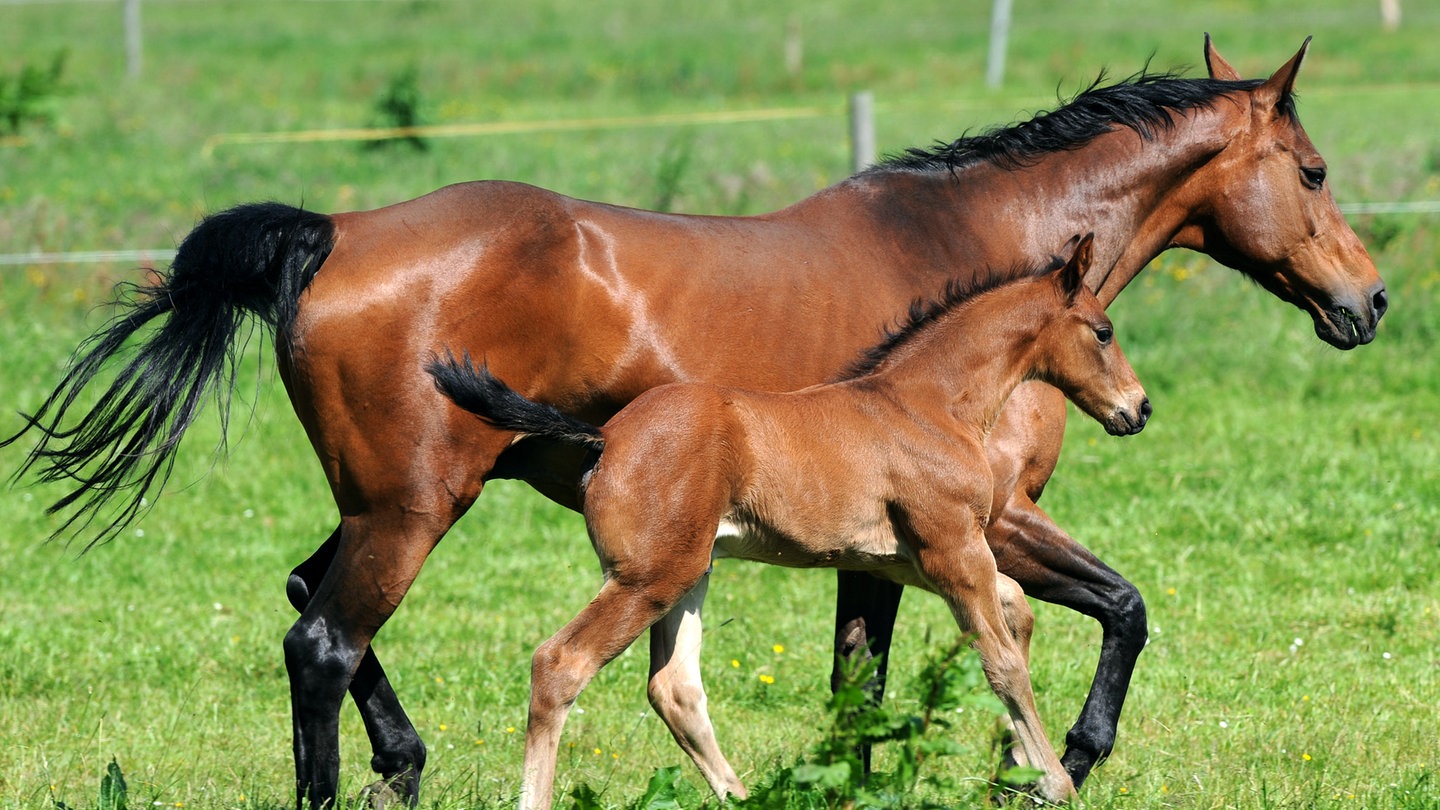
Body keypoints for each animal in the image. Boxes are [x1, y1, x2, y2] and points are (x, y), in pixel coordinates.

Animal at [426, 230, 1146, 801]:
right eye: (1103, 332)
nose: (1137, 409)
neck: (929, 404)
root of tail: (606, 437)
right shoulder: (952, 552)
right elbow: (1002, 661)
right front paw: (1055, 782)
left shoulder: (909, 560)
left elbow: (1016, 608)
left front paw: (1022, 769)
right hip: (647, 578)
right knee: (560, 665)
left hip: (689, 572)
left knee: (675, 688)